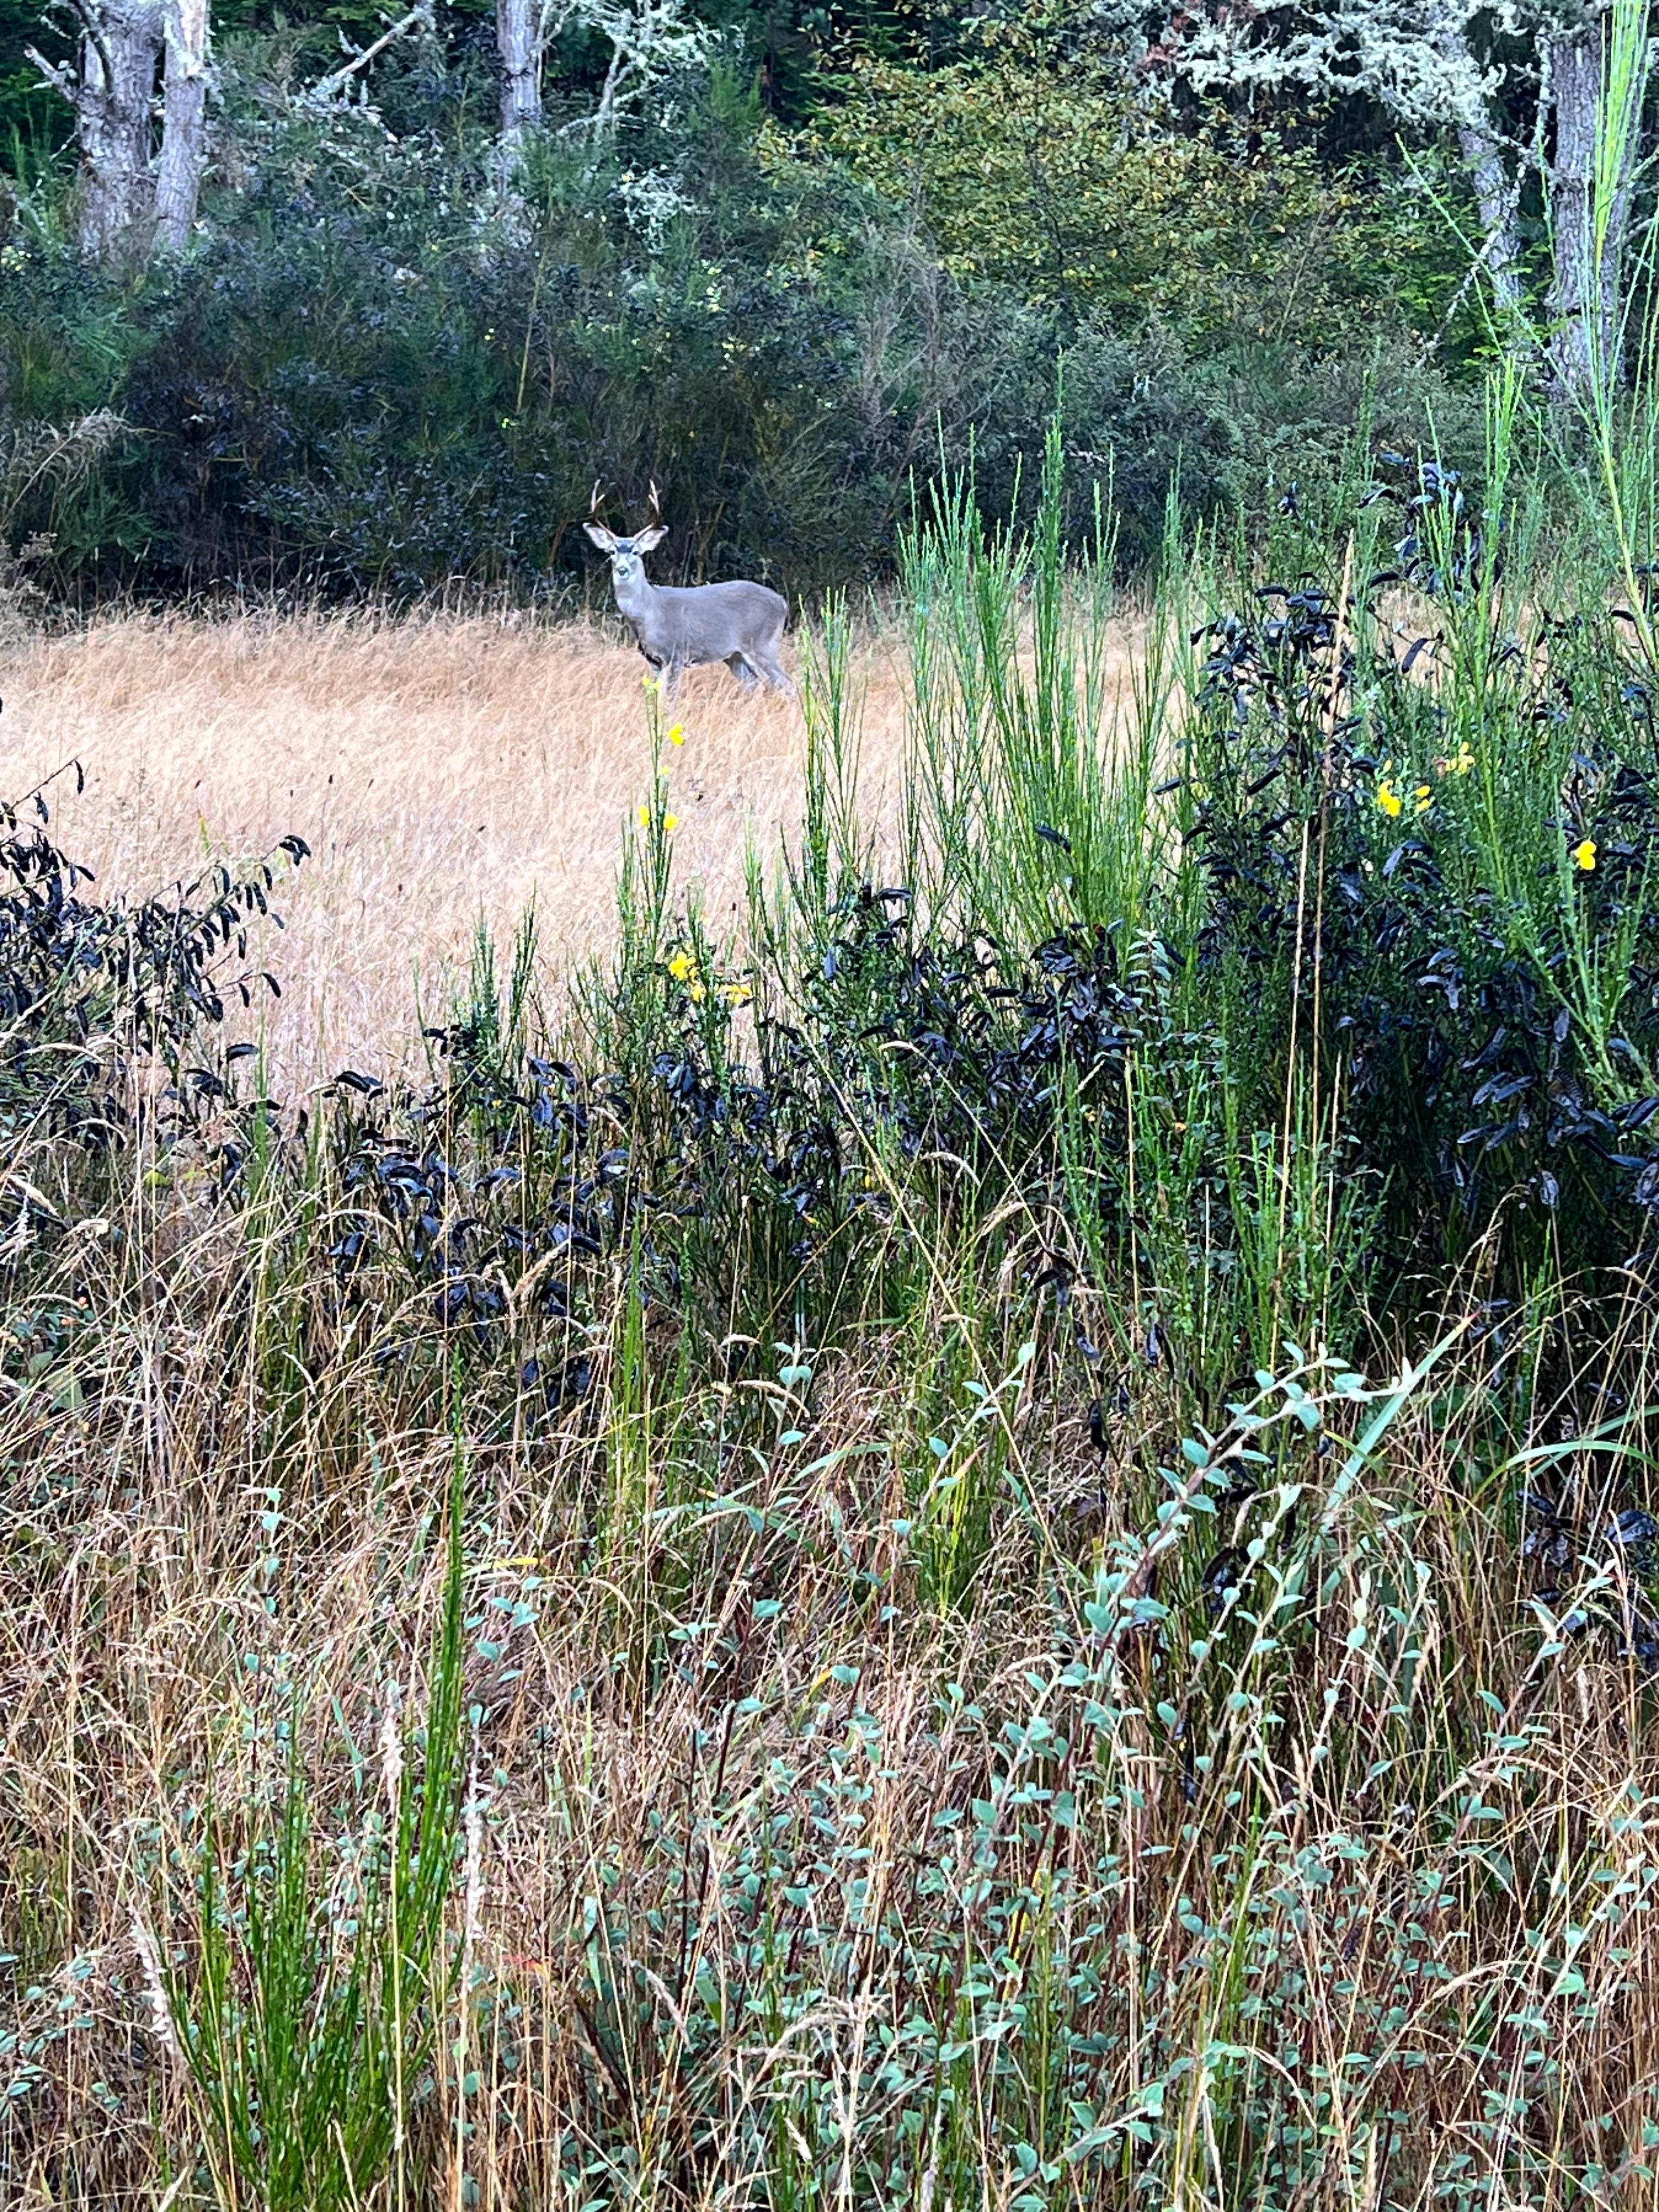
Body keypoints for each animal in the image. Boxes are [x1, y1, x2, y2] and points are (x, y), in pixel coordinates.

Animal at [583, 487, 794, 699]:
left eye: (636, 552)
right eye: (612, 552)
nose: (622, 569)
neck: (649, 611)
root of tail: (783, 603)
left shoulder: (677, 653)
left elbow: (670, 698)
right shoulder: (654, 661)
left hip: (763, 644)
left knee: (789, 684)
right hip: (735, 655)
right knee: (755, 684)